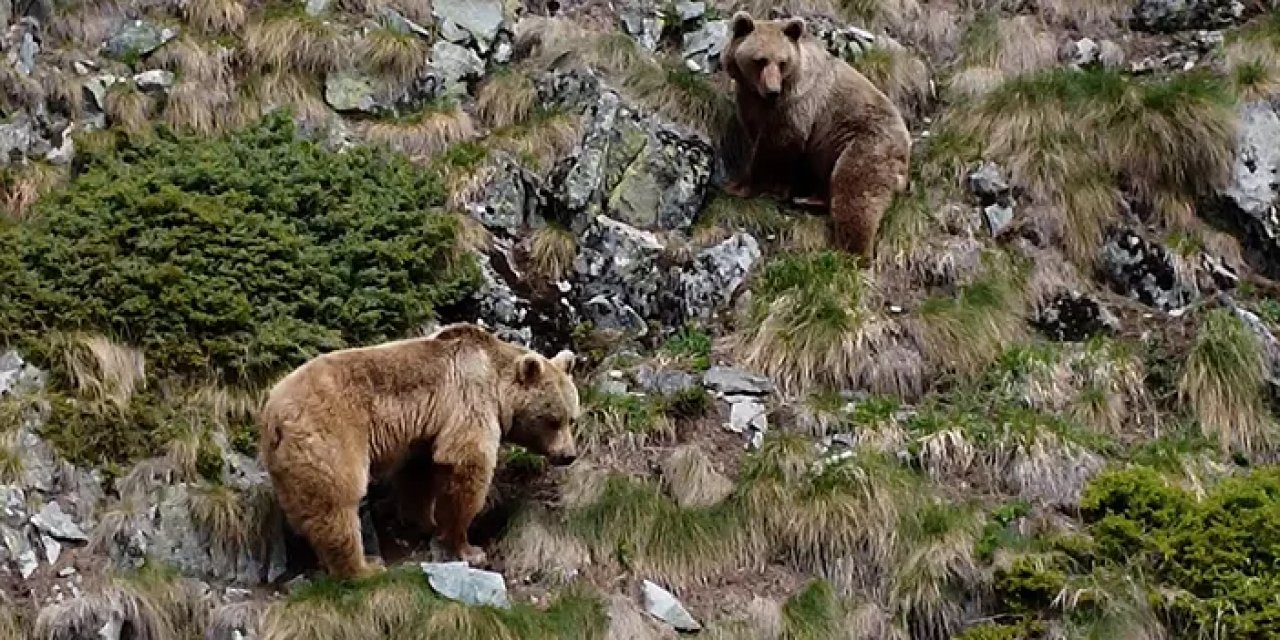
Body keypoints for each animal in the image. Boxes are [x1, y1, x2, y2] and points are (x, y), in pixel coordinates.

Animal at [259, 322, 581, 578]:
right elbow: (468, 462)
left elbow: (419, 475)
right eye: (553, 420)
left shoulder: (425, 431)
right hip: (331, 434)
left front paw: (426, 522)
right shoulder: (470, 399)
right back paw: (364, 568)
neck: (497, 382)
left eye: (572, 418)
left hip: (287, 461)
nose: (568, 455)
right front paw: (469, 547)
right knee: (338, 500)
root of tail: (274, 413)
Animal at [721, 11, 911, 259]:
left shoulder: (795, 104)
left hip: (868, 144)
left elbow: (775, 146)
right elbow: (756, 137)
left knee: (855, 191)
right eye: (760, 60)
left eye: (782, 62)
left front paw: (740, 186)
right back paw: (811, 199)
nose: (773, 91)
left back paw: (851, 252)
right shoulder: (750, 102)